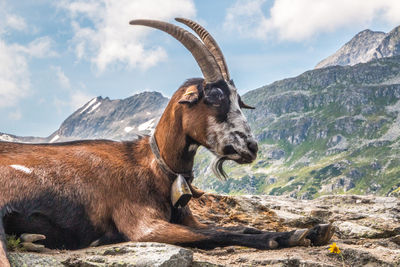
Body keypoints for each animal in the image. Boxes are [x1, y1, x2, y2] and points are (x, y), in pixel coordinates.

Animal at [0, 18, 334, 267]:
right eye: (214, 96)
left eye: (239, 101)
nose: (250, 147)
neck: (152, 167)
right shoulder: (143, 225)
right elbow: (224, 233)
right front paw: (288, 236)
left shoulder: (190, 220)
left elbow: (237, 226)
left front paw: (315, 229)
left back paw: (33, 240)